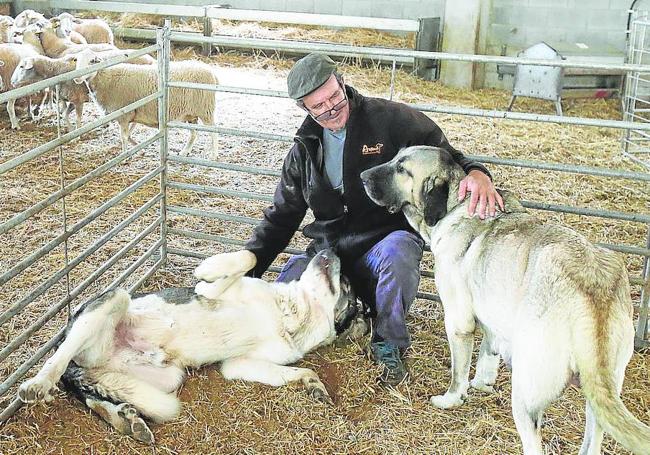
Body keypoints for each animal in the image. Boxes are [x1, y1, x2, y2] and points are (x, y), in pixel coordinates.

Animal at [16, 249, 364, 446]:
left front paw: (313, 385)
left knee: (95, 398)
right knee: (57, 361)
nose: (330, 248)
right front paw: (208, 269)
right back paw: (38, 384)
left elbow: (299, 371)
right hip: (112, 300)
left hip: (167, 378)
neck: (290, 316)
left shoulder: (239, 365)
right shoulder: (216, 288)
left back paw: (128, 421)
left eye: (346, 286)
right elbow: (246, 259)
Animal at [74, 49, 218, 158]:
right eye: (77, 60)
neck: (106, 78)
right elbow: (129, 135)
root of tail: (211, 72)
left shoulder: (124, 115)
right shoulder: (133, 113)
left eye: (92, 61)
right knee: (194, 134)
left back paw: (213, 155)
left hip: (205, 109)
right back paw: (184, 151)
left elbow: (124, 137)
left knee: (213, 132)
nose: (77, 78)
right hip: (190, 113)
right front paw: (139, 149)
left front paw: (124, 156)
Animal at [360, 146, 648, 455]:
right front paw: (482, 383)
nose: (362, 176)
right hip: (599, 397)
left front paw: (451, 399)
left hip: (526, 393)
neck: (455, 206)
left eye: (402, 169)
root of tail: (594, 290)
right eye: (394, 158)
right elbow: (487, 354)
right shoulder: (492, 316)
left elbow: (458, 373)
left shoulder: (459, 321)